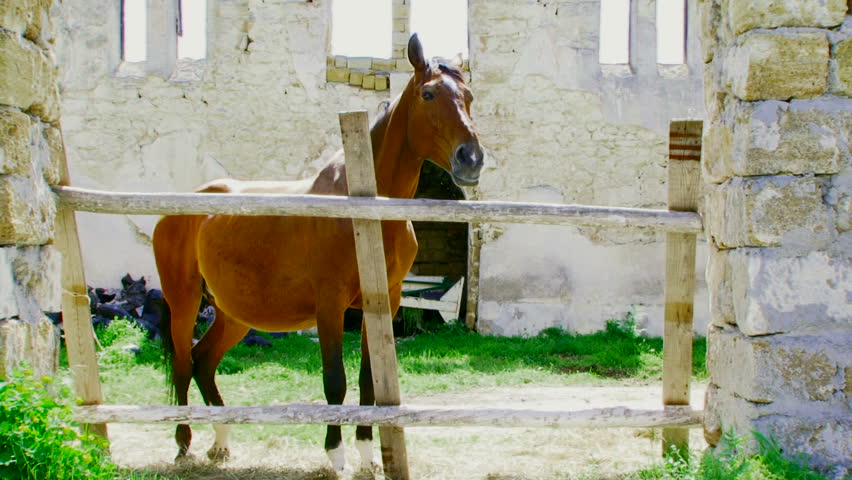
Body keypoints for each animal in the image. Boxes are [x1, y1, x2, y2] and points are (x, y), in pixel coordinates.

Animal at [152, 34, 485, 472]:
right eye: (428, 94)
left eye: (469, 96)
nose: (472, 159)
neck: (365, 212)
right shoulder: (330, 304)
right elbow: (334, 381)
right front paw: (336, 455)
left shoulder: (383, 303)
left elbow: (368, 381)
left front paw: (367, 453)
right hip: (184, 301)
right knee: (182, 363)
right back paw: (183, 441)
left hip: (233, 313)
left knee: (203, 361)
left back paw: (221, 441)